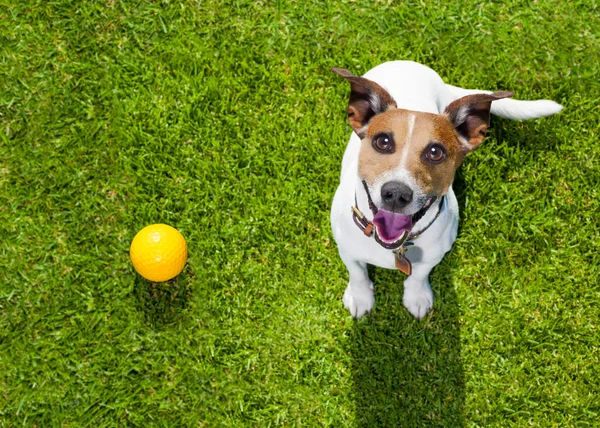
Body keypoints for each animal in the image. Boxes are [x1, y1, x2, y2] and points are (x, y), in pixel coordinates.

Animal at [328, 61, 564, 320]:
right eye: (383, 142)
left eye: (435, 152)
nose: (396, 194)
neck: (397, 246)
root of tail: (408, 63)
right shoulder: (346, 249)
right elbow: (357, 272)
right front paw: (360, 297)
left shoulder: (434, 255)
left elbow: (419, 276)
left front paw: (417, 297)